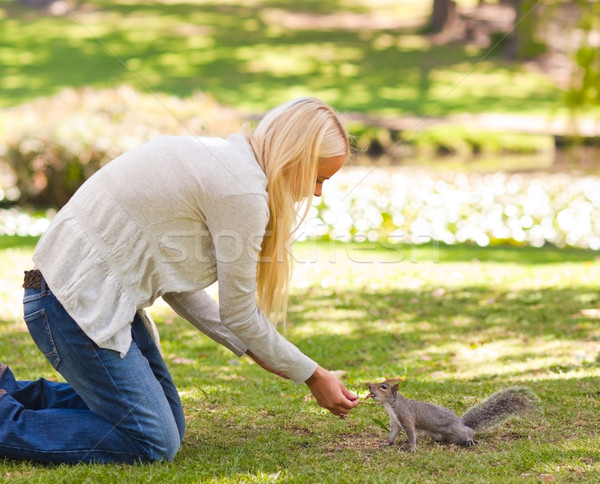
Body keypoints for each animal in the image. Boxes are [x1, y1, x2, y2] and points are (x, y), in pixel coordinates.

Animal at [366, 380, 540, 452]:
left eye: (383, 387)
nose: (368, 386)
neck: (391, 405)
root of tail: (461, 423)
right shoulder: (395, 422)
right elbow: (393, 434)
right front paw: (387, 443)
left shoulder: (406, 418)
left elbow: (411, 434)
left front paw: (413, 448)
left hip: (458, 431)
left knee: (469, 432)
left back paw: (470, 440)